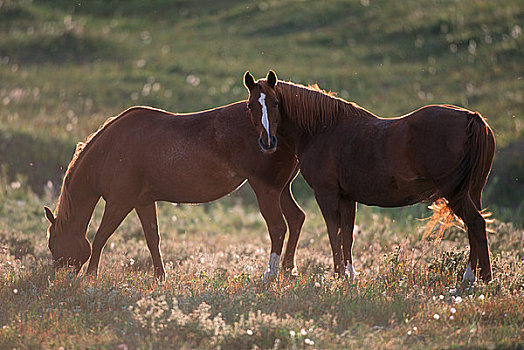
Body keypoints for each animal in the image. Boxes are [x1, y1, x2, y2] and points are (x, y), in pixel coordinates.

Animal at [46, 102, 308, 282]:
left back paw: (270, 275)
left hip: (266, 189)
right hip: (281, 190)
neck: (111, 149)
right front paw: (160, 277)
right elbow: (152, 239)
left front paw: (91, 275)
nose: (58, 278)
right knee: (296, 219)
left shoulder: (120, 202)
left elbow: (100, 237)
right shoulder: (143, 202)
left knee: (278, 228)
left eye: (52, 244)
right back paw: (288, 270)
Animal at [244, 71, 494, 282]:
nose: (268, 142)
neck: (321, 130)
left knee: (476, 223)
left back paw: (476, 278)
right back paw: (475, 276)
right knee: (474, 227)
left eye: (275, 103)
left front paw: (337, 275)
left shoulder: (326, 194)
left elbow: (334, 234)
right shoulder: (347, 198)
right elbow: (346, 236)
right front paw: (348, 275)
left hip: (456, 193)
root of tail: (471, 118)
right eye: (250, 106)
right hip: (473, 192)